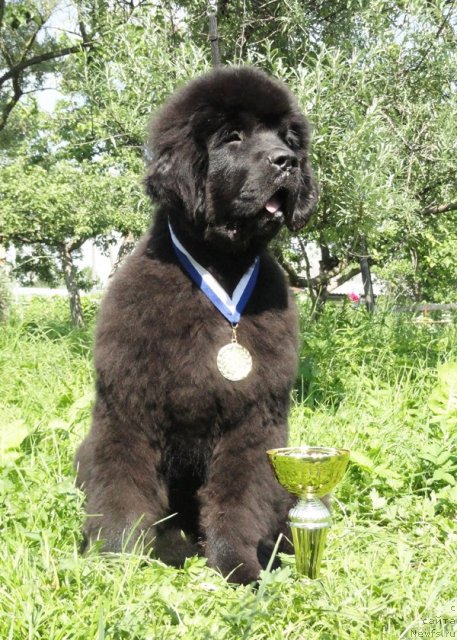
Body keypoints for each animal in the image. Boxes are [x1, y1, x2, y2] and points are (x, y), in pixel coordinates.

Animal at [75, 66, 318, 584]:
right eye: (232, 136)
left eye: (287, 138)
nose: (286, 162)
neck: (218, 269)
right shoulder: (128, 411)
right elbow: (124, 491)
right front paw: (117, 563)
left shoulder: (252, 423)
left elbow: (238, 500)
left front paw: (239, 568)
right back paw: (171, 547)